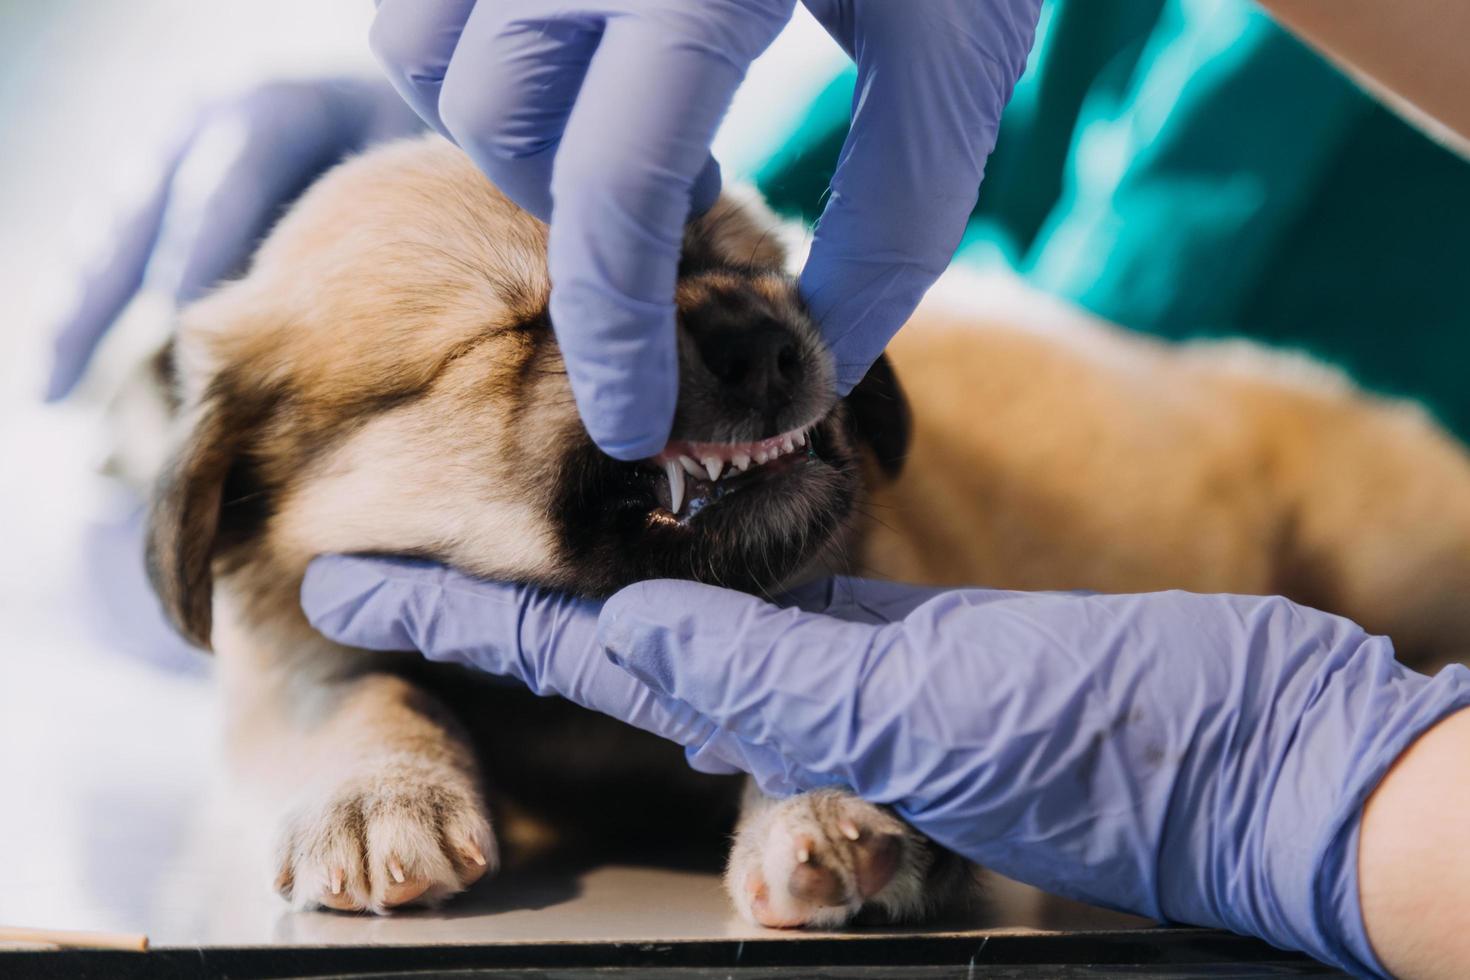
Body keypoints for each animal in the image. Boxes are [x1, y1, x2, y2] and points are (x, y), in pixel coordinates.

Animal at [138, 135, 1470, 928]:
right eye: (538, 322)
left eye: (734, 261)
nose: (768, 339)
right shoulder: (292, 646)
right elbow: (354, 688)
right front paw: (380, 790)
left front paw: (824, 805)